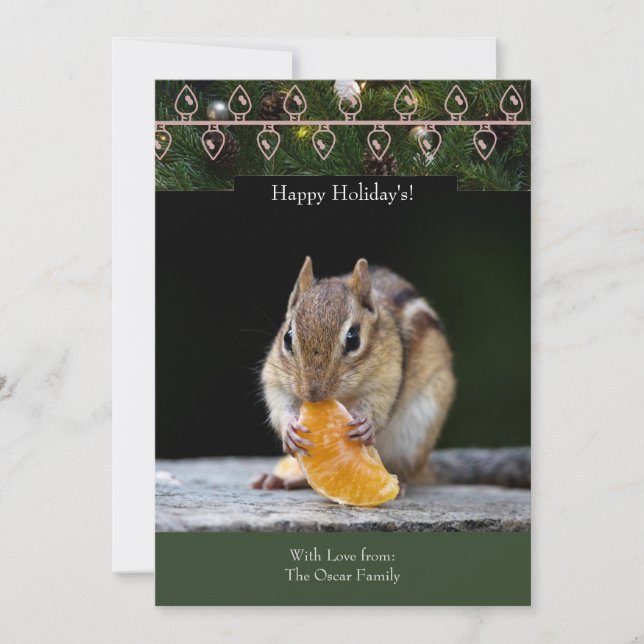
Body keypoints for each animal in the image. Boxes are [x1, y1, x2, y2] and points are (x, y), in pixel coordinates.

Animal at [251, 257, 455, 491]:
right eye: (287, 337)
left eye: (353, 339)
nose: (313, 394)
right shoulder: (274, 374)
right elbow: (278, 400)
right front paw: (288, 429)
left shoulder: (388, 376)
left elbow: (379, 401)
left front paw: (367, 422)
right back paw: (284, 479)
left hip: (414, 436)